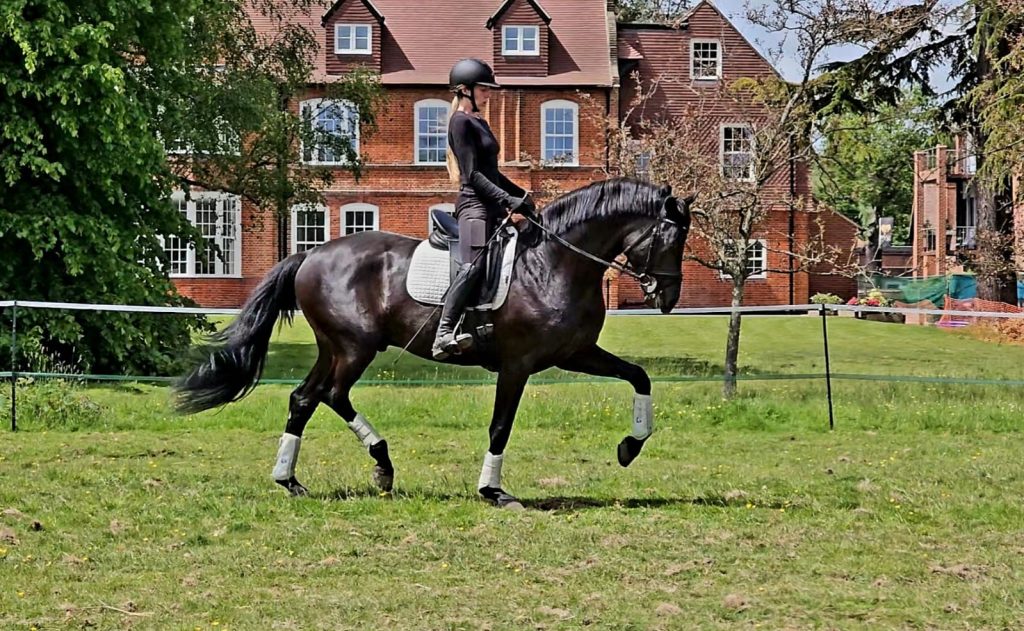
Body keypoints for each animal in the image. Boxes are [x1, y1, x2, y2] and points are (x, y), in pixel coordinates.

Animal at [176, 177, 692, 508]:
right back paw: (374, 466)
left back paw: (296, 479)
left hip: (335, 347)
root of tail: (311, 255)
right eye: (671, 239)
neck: (553, 262)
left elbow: (639, 376)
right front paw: (493, 491)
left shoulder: (575, 354)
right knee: (330, 394)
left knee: (307, 397)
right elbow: (500, 426)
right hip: (354, 347)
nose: (668, 299)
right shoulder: (518, 364)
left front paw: (630, 446)